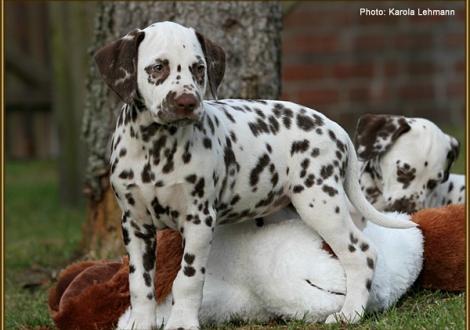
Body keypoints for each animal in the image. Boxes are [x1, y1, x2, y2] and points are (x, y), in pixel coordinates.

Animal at [93, 21, 414, 328]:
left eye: (199, 68)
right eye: (158, 67)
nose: (187, 102)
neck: (154, 148)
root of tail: (334, 127)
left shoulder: (198, 220)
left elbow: (187, 279)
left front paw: (182, 322)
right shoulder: (135, 224)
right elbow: (139, 283)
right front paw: (141, 323)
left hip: (319, 202)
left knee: (362, 253)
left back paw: (350, 313)